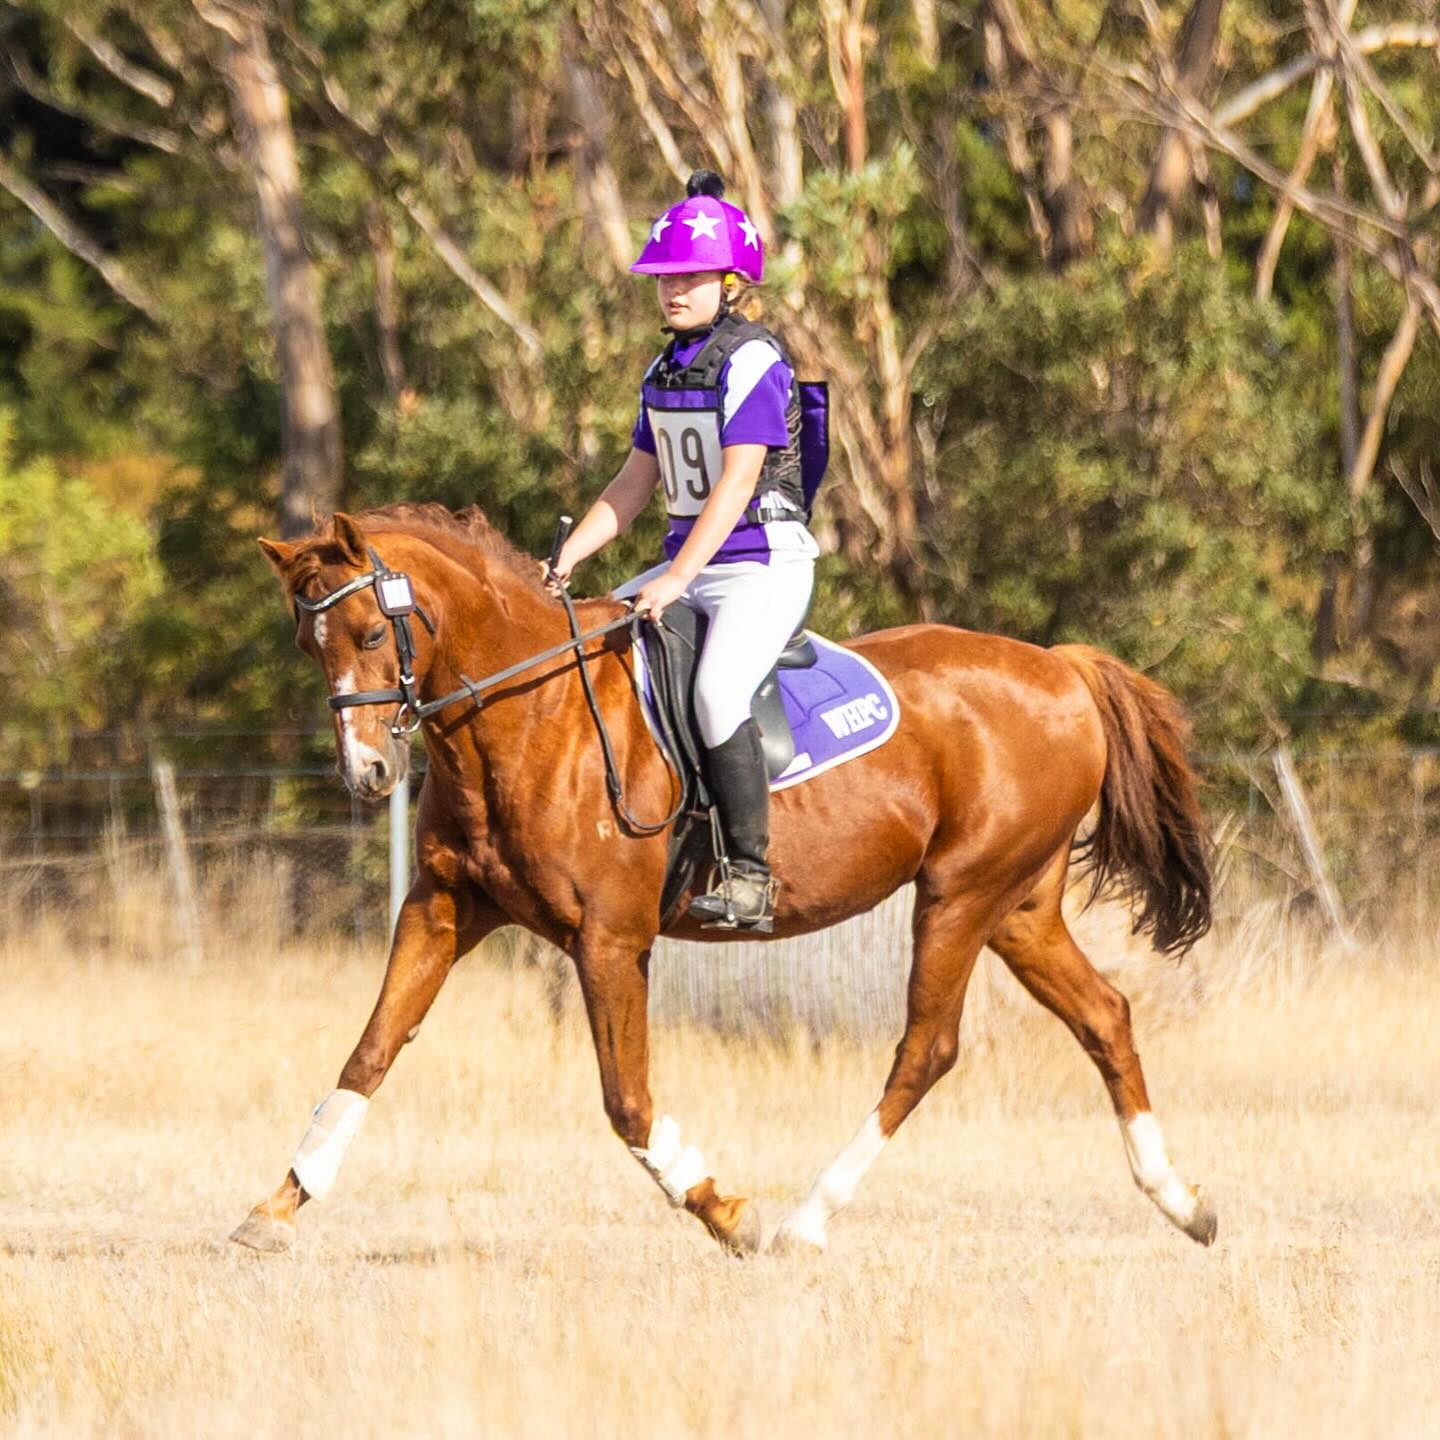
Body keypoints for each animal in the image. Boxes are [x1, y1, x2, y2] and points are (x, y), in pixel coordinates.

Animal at [233, 502, 1216, 1257]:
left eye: (371, 632)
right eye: (308, 645)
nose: (366, 775)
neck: (531, 714)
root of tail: (1061, 668)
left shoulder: (609, 941)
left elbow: (627, 1102)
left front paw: (723, 1211)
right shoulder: (441, 911)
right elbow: (368, 1055)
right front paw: (275, 1208)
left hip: (959, 897)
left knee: (927, 1050)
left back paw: (805, 1221)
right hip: (1017, 907)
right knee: (1104, 1015)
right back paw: (1183, 1202)